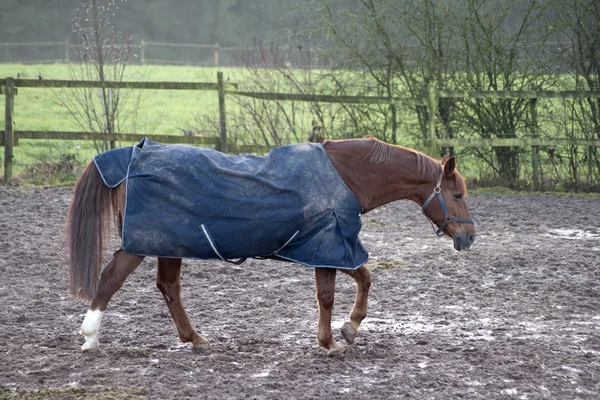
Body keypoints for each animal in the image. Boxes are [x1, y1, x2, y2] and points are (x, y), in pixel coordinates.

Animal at [67, 136, 478, 354]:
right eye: (457, 194)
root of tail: (132, 156)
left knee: (168, 287)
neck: (347, 177)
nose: (469, 236)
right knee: (111, 279)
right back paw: (90, 337)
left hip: (170, 245)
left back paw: (194, 339)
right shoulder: (330, 245)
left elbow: (362, 279)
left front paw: (345, 330)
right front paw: (335, 338)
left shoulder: (332, 247)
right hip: (144, 243)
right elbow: (332, 294)